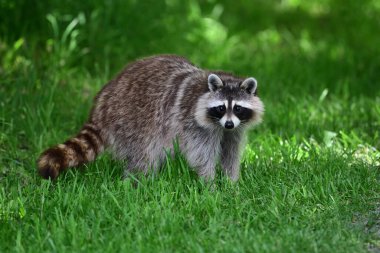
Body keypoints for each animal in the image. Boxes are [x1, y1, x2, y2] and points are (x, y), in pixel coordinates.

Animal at [38, 55, 264, 182]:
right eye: (221, 108)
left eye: (237, 108)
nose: (228, 123)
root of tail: (102, 101)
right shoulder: (192, 122)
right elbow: (201, 154)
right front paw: (208, 182)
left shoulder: (234, 131)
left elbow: (230, 153)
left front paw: (231, 182)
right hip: (132, 119)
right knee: (144, 155)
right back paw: (137, 182)